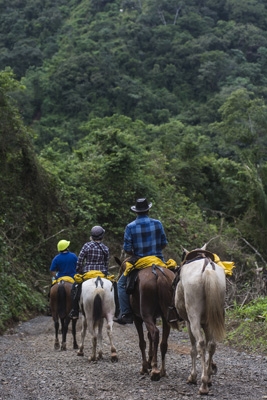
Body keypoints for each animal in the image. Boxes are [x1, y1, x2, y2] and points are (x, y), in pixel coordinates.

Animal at [175, 245, 227, 396]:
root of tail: (208, 268)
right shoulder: (208, 323)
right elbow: (211, 345)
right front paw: (209, 374)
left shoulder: (188, 322)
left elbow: (192, 349)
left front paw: (193, 377)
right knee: (211, 345)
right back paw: (206, 380)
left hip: (193, 319)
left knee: (201, 344)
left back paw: (203, 385)